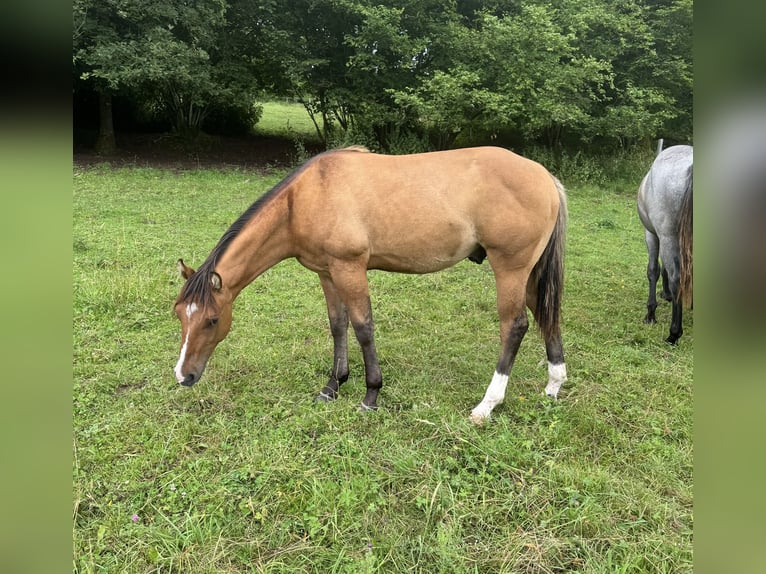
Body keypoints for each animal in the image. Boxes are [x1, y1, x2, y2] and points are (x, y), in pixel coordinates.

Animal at [176, 146, 568, 426]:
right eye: (179, 315)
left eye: (212, 320)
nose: (184, 375)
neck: (304, 199)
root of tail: (546, 178)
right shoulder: (327, 272)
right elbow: (338, 326)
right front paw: (332, 386)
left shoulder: (350, 269)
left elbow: (363, 328)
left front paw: (370, 396)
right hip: (529, 273)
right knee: (547, 316)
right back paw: (553, 385)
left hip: (510, 269)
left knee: (514, 326)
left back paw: (487, 405)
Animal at [636, 146, 696, 344]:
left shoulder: (652, 235)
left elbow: (653, 270)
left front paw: (650, 313)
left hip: (666, 236)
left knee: (676, 278)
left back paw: (674, 333)